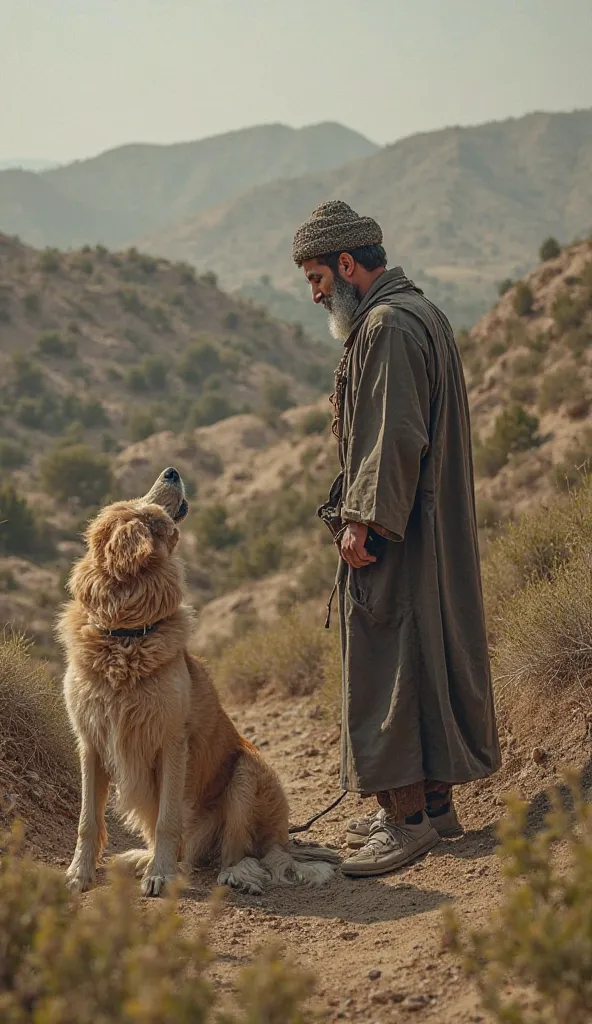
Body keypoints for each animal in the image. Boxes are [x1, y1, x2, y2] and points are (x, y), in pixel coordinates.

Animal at [57, 468, 337, 892]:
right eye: (146, 509)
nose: (171, 471)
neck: (124, 637)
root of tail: (282, 840)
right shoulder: (90, 743)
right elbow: (87, 820)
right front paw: (79, 874)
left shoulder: (172, 743)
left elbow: (168, 820)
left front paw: (160, 874)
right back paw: (145, 858)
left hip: (246, 773)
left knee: (239, 852)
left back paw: (234, 873)